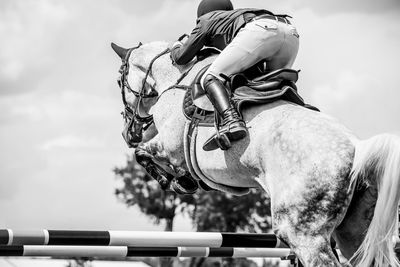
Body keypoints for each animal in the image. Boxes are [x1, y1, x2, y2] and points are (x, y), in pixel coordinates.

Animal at [111, 41, 400, 267]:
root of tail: (358, 149)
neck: (175, 79)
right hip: (355, 231)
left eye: (119, 81)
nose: (127, 133)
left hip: (303, 232)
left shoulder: (169, 145)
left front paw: (178, 181)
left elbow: (143, 154)